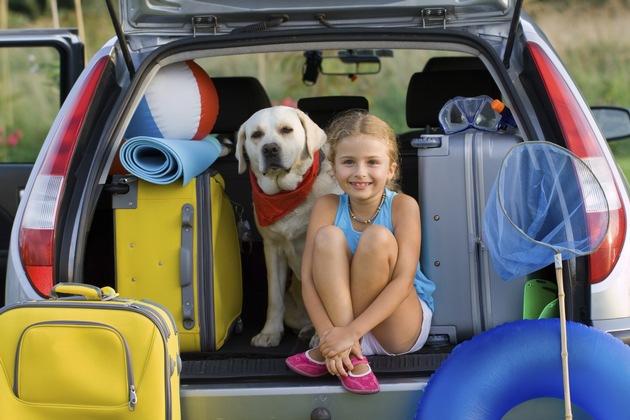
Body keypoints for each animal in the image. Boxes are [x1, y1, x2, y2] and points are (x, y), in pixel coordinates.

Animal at [236, 106, 340, 348]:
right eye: (256, 135)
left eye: (286, 130)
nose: (270, 148)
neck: (287, 194)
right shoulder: (272, 249)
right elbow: (274, 297)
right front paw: (270, 333)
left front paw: (323, 338)